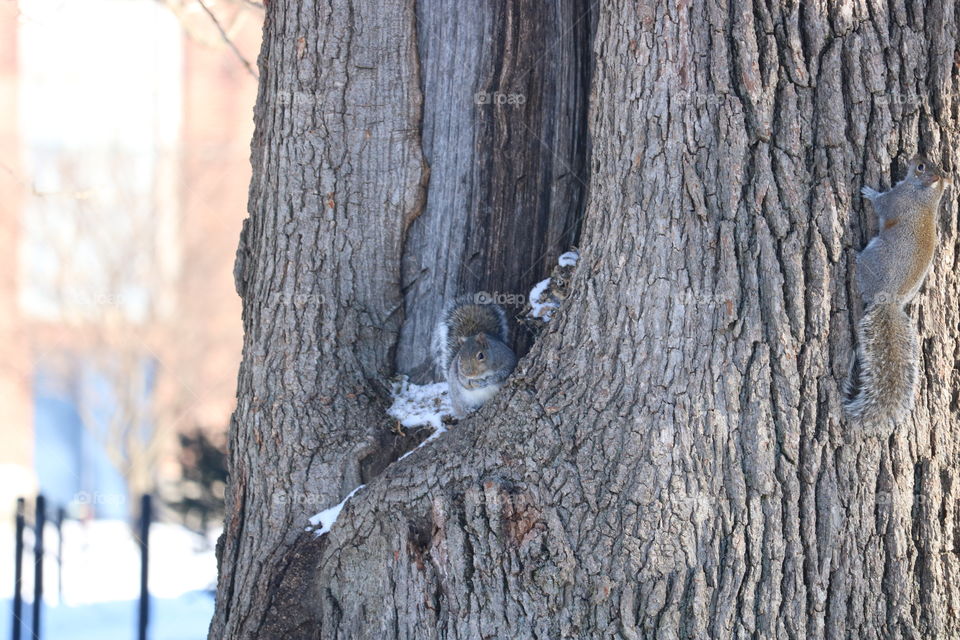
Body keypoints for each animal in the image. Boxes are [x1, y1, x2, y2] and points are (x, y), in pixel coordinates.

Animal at [843, 155, 951, 427]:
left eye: (921, 167)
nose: (914, 158)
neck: (925, 195)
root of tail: (888, 299)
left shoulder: (895, 201)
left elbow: (881, 204)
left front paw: (868, 191)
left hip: (875, 255)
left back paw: (853, 258)